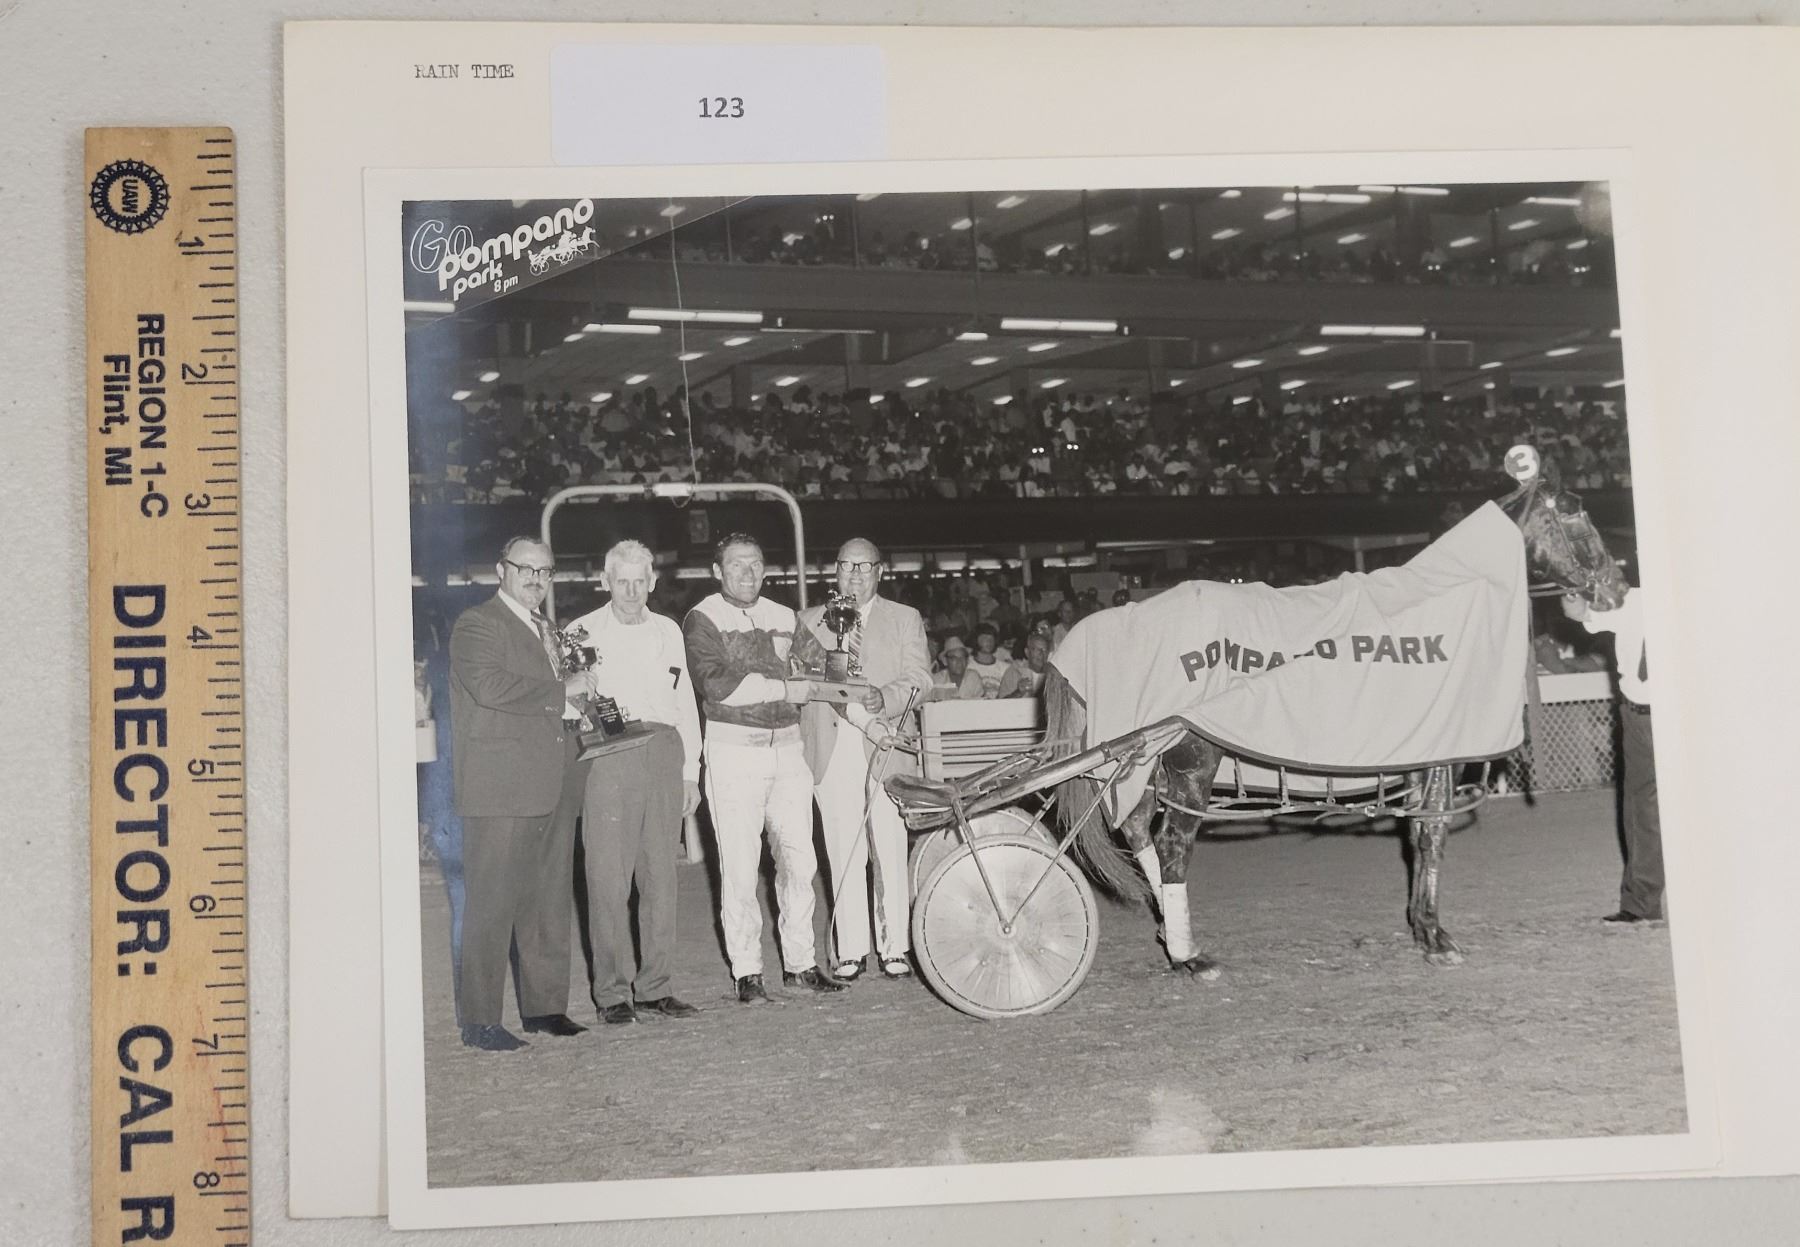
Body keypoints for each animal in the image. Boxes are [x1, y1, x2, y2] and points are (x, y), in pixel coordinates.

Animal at [1046, 450, 1630, 976]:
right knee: (1171, 843)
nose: (1617, 590)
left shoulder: (1417, 757)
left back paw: (1170, 928)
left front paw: (1421, 926)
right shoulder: (1441, 752)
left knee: (1137, 825)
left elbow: (1418, 838)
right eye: (1576, 512)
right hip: (1192, 761)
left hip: (1145, 762)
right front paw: (1437, 937)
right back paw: (1189, 956)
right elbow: (1433, 834)